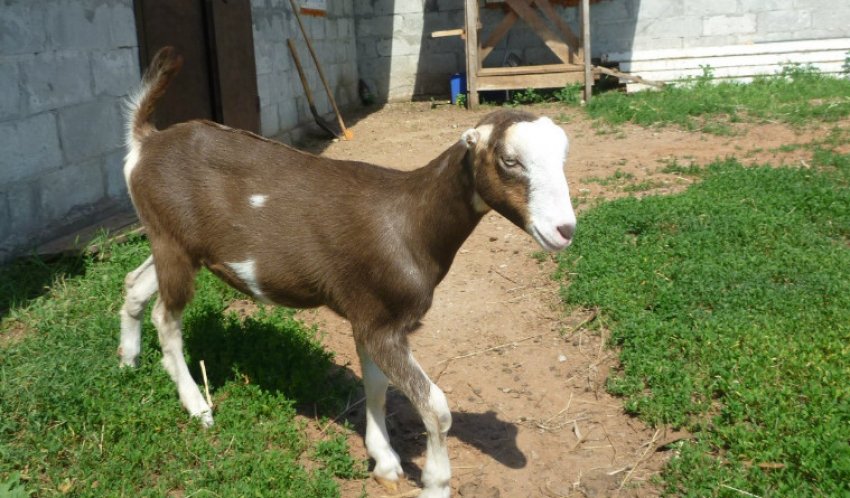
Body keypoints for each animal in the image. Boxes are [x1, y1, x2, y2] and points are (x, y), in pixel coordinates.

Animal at [119, 47, 576, 498]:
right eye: (509, 160)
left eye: (563, 158)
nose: (564, 230)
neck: (409, 222)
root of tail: (145, 141)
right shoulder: (382, 324)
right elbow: (436, 407)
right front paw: (434, 483)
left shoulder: (373, 317)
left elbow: (376, 386)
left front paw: (385, 462)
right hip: (172, 243)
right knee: (166, 317)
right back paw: (197, 407)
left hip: (174, 242)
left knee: (134, 285)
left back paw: (127, 362)